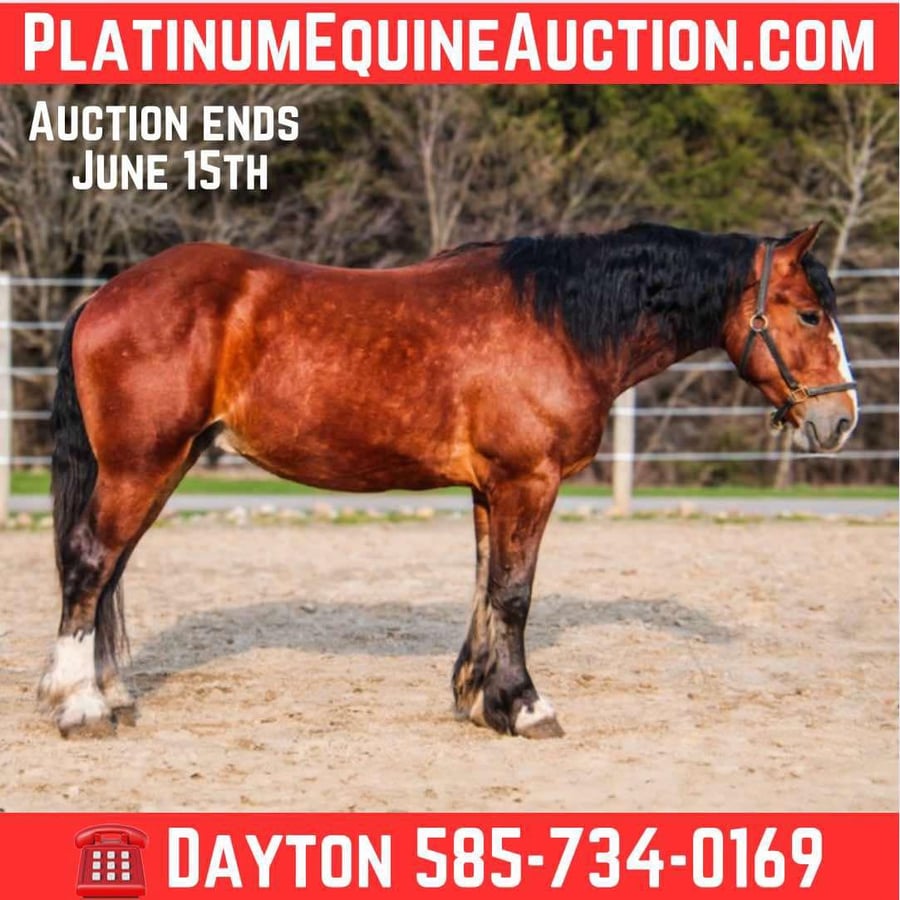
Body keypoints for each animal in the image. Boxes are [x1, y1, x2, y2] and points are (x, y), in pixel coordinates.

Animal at [38, 221, 858, 739]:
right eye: (808, 315)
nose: (842, 419)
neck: (559, 321)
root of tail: (104, 296)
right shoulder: (528, 482)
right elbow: (516, 594)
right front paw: (525, 708)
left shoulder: (491, 489)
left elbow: (486, 590)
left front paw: (477, 699)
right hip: (142, 465)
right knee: (89, 563)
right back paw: (81, 708)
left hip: (162, 465)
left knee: (110, 571)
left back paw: (112, 695)